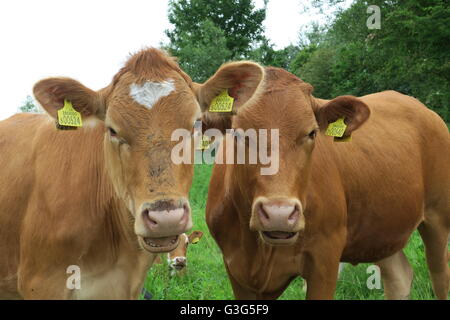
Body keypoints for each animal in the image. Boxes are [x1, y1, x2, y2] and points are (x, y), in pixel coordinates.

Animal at [196, 62, 450, 300]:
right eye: (239, 135)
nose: (279, 214)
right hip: (382, 229)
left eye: (312, 133)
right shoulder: (237, 269)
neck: (261, 252)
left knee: (440, 277)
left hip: (438, 217)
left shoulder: (325, 260)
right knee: (399, 276)